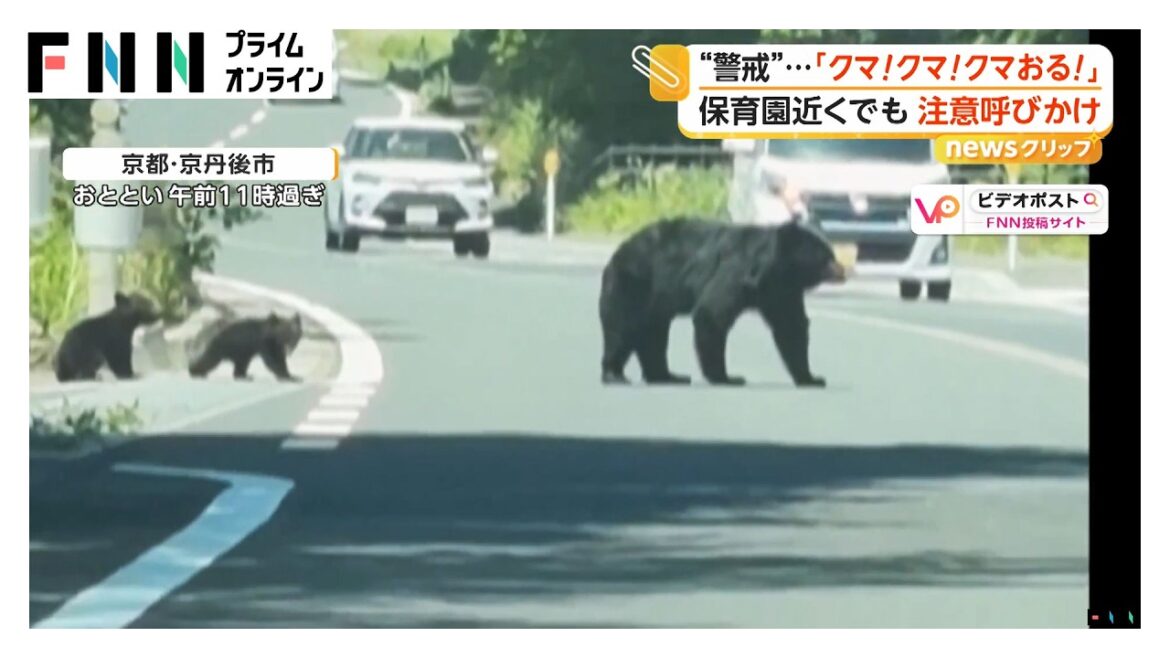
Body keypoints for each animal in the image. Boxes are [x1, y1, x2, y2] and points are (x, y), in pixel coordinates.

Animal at [598, 218, 846, 387]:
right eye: (827, 257)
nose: (843, 270)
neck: (770, 269)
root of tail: (616, 254)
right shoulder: (735, 271)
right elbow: (711, 313)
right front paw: (726, 377)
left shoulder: (781, 291)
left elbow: (791, 327)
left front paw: (811, 377)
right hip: (632, 285)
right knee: (622, 329)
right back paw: (615, 374)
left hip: (653, 302)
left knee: (653, 336)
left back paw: (667, 376)